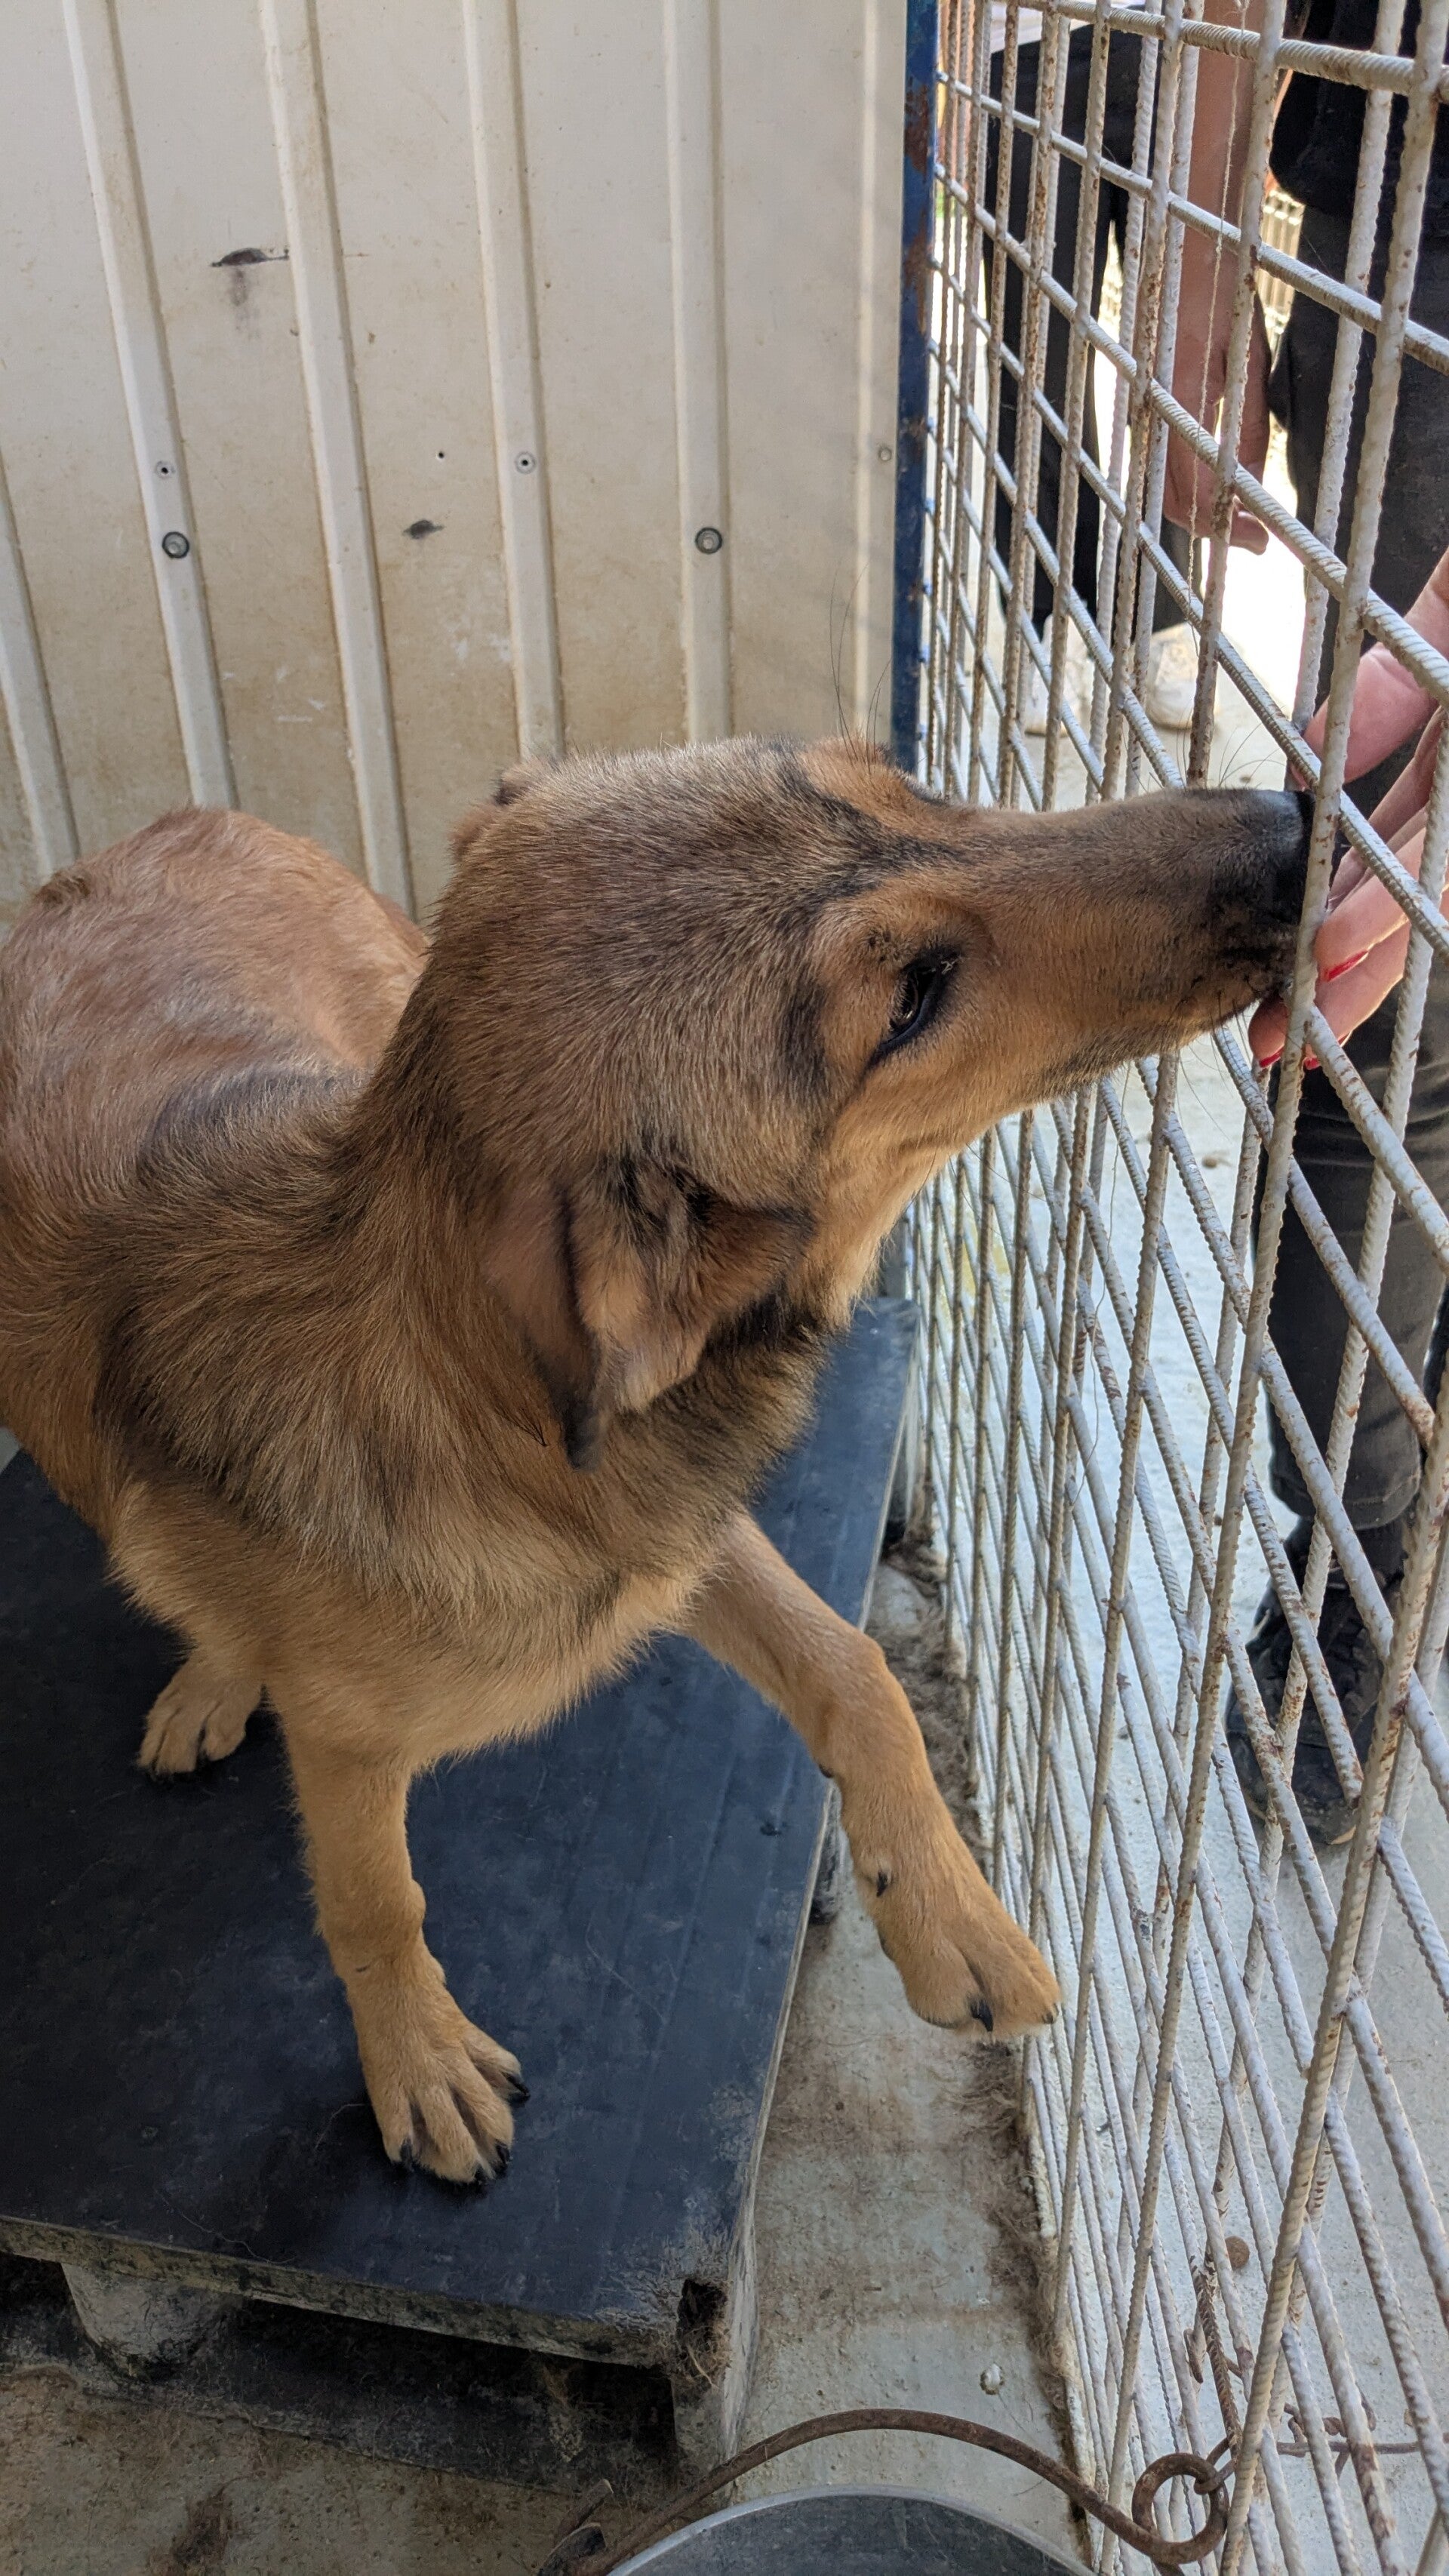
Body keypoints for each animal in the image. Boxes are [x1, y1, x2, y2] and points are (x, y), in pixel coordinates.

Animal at [0, 736, 1308, 2183]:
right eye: (911, 997)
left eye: (900, 782)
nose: (1292, 825)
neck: (478, 1387)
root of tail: (158, 832)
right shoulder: (351, 1744)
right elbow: (375, 1905)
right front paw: (419, 2058)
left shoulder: (666, 1535)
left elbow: (855, 1671)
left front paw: (950, 1918)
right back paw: (218, 1668)